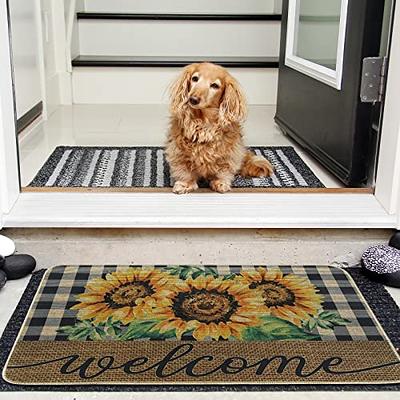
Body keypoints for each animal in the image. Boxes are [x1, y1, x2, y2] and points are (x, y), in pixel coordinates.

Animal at [164, 62, 274, 194]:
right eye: (195, 79)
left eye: (215, 86)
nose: (193, 99)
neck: (203, 122)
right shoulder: (178, 151)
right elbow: (184, 171)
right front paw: (185, 184)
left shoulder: (229, 153)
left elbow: (223, 170)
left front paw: (220, 182)